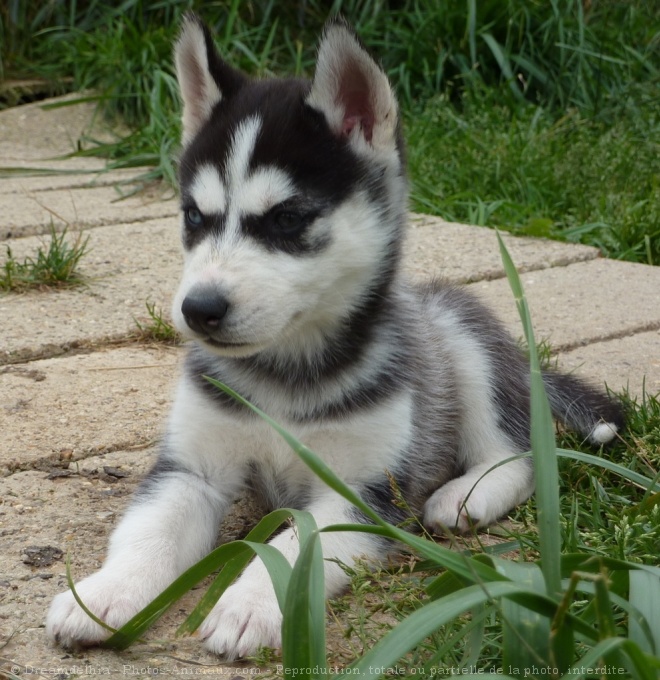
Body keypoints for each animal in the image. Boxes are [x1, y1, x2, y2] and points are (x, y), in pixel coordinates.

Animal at [46, 11, 624, 660]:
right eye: (194, 216)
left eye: (287, 219)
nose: (199, 310)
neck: (283, 376)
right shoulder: (191, 470)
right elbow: (149, 531)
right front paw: (103, 595)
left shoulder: (361, 492)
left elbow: (297, 548)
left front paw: (251, 605)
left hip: (461, 339)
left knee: (519, 453)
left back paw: (466, 495)